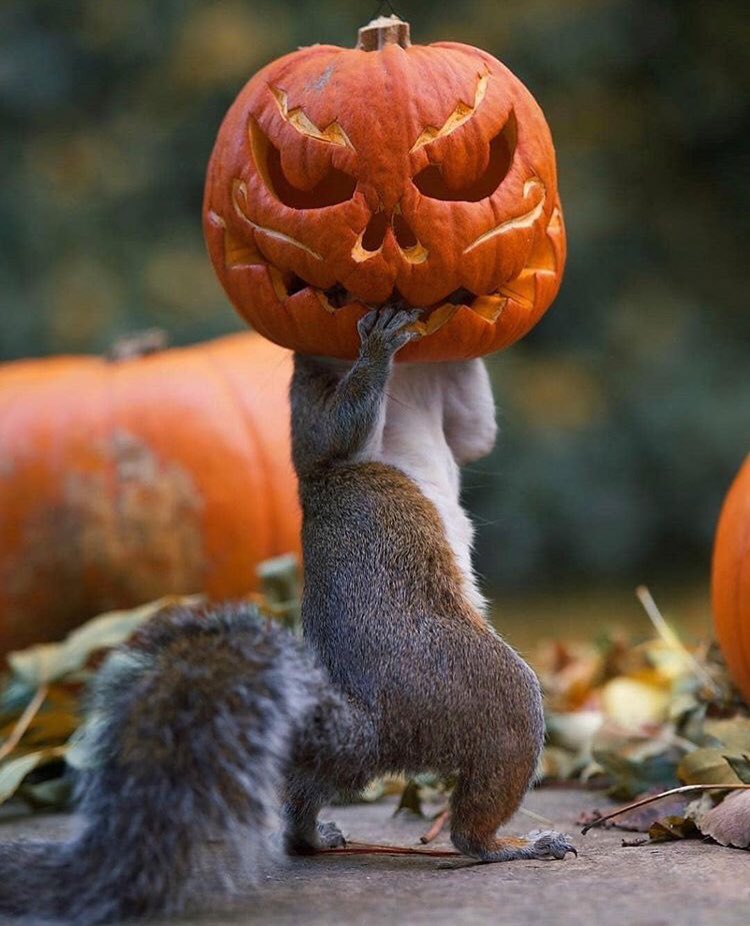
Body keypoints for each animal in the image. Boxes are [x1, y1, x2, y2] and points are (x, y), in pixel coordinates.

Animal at [0, 307, 574, 925]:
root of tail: (373, 727)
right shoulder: (310, 416)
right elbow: (332, 435)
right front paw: (378, 345)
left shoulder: (452, 413)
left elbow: (475, 432)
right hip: (487, 693)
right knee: (477, 813)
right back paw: (512, 845)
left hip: (343, 759)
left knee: (306, 798)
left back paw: (314, 836)